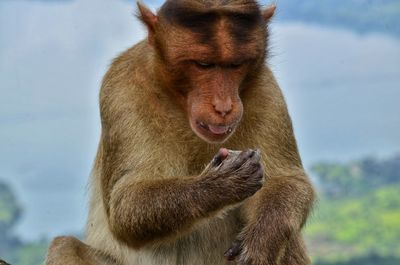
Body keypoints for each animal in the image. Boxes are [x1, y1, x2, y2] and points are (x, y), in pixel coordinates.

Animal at [46, 0, 316, 262]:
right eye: (204, 64)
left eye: (236, 65)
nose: (224, 106)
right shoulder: (122, 86)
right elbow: (126, 203)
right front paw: (220, 184)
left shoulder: (266, 89)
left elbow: (288, 181)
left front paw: (261, 242)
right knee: (64, 246)